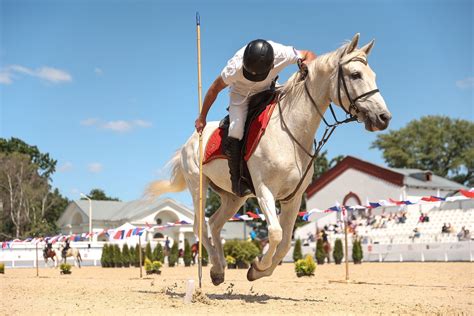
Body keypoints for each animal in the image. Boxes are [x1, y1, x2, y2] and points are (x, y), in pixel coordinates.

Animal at [146, 33, 390, 286]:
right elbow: (275, 233)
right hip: (198, 186)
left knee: (214, 224)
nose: (383, 117)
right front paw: (258, 266)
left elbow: (285, 243)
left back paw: (219, 269)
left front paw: (259, 270)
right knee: (199, 226)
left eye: (372, 75)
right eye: (355, 75)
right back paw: (216, 268)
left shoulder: (293, 198)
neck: (290, 132)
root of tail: (190, 141)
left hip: (234, 197)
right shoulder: (265, 190)